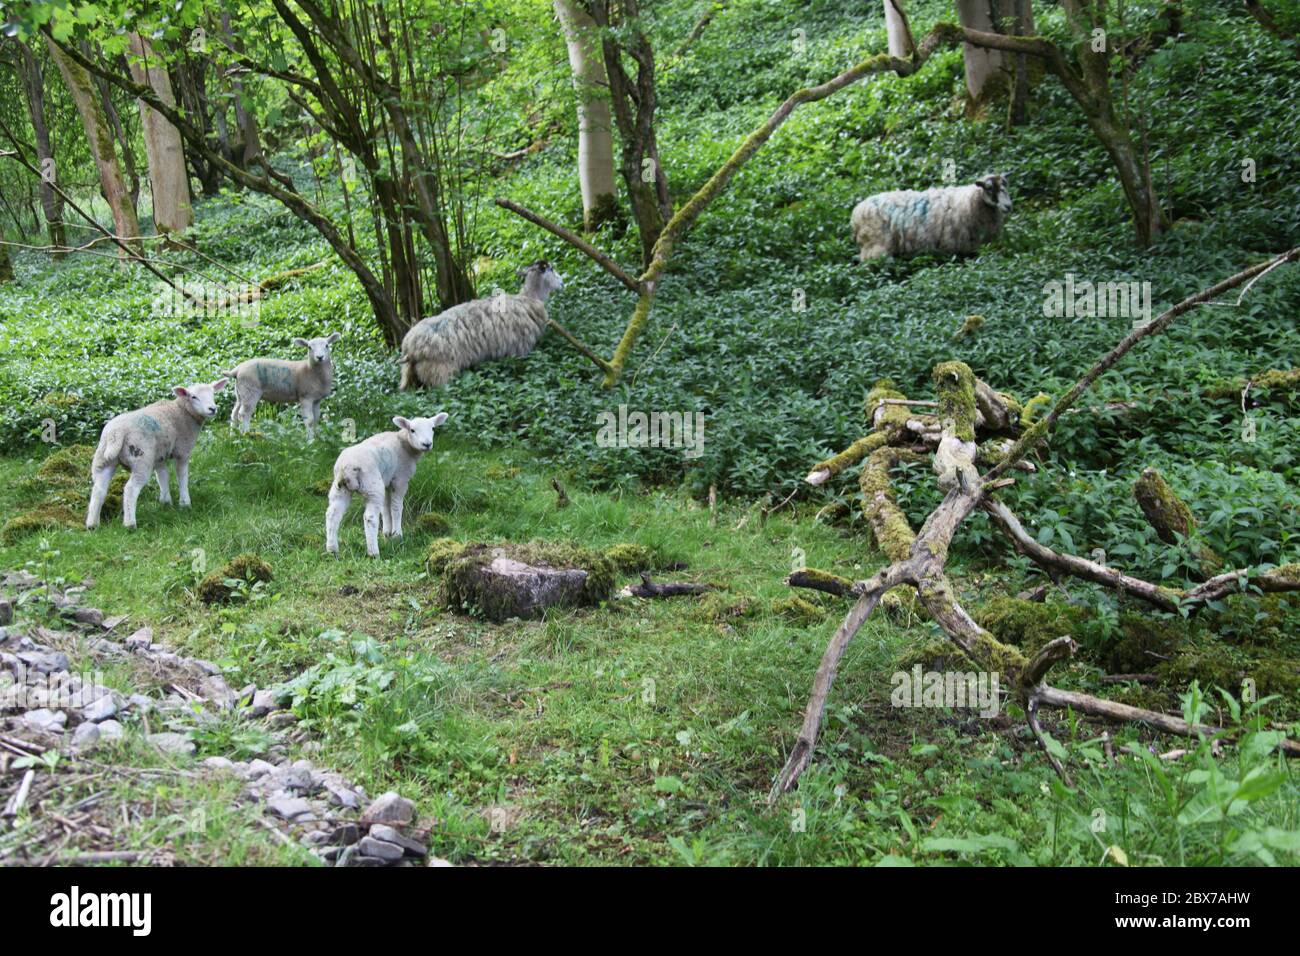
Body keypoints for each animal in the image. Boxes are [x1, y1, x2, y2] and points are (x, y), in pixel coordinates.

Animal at [86, 377, 228, 530]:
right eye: (193, 396)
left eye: (213, 393)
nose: (212, 409)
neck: (182, 412)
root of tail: (116, 433)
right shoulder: (182, 451)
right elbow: (182, 476)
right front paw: (185, 503)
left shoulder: (159, 455)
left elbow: (163, 476)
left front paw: (166, 501)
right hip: (141, 458)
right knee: (130, 489)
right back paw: (130, 524)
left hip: (103, 459)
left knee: (99, 489)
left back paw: (92, 524)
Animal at [323, 413, 447, 561]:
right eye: (412, 430)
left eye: (433, 428)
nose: (427, 444)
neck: (404, 445)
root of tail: (347, 467)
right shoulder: (400, 479)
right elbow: (396, 507)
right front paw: (397, 534)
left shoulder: (387, 480)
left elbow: (385, 508)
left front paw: (387, 533)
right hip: (372, 485)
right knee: (370, 517)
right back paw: (374, 553)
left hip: (341, 488)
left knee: (332, 514)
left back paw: (332, 550)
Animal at [392, 260, 561, 390]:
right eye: (551, 269)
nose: (562, 282)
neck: (529, 298)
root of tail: (410, 348)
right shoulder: (520, 349)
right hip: (439, 371)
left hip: (409, 373)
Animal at [847, 172, 1008, 260]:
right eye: (988, 188)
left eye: (1006, 186)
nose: (1009, 206)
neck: (970, 200)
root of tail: (856, 214)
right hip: (875, 248)